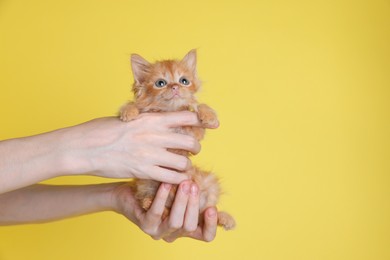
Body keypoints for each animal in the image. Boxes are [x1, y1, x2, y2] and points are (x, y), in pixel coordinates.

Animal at [119, 49, 235, 231]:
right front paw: (128, 111)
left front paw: (209, 115)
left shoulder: (194, 134)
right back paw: (150, 203)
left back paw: (223, 218)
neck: (170, 112)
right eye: (160, 83)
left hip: (209, 184)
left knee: (205, 213)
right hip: (147, 184)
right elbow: (134, 105)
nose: (175, 86)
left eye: (184, 81)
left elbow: (198, 107)